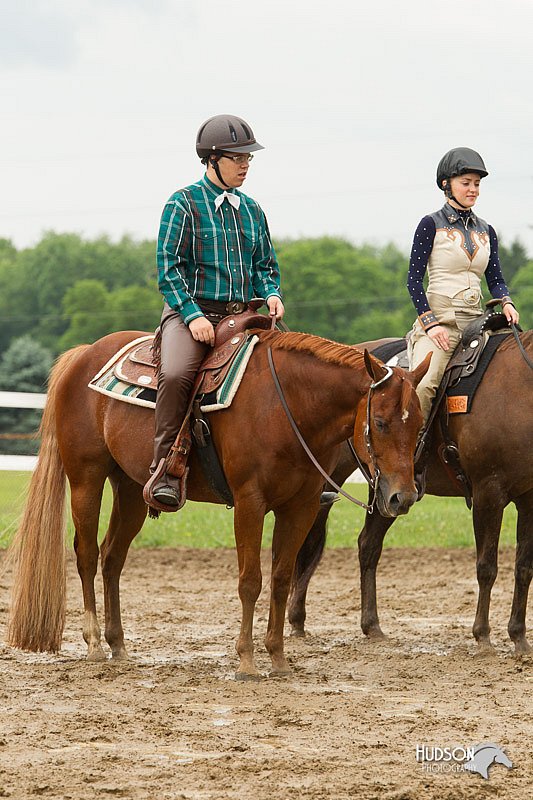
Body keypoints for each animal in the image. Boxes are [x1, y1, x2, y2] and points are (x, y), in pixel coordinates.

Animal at [5, 328, 428, 680]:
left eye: (420, 422)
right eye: (381, 422)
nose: (402, 496)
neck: (285, 406)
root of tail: (84, 354)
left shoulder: (301, 507)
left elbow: (281, 578)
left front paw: (278, 658)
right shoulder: (249, 502)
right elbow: (250, 581)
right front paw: (247, 662)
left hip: (130, 489)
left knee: (112, 558)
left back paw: (118, 644)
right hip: (86, 479)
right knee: (87, 555)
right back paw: (93, 642)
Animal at [286, 332, 532, 656]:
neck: (518, 389)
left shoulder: (529, 500)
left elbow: (523, 567)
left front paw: (519, 637)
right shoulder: (488, 493)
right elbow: (487, 567)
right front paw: (482, 636)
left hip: (388, 493)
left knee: (368, 545)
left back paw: (371, 626)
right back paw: (297, 620)